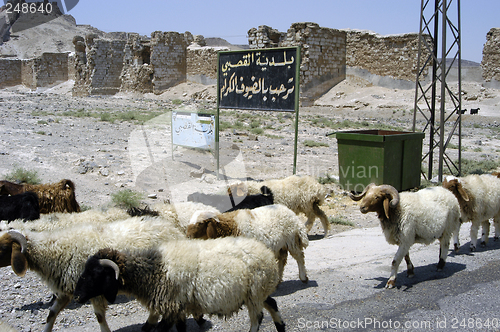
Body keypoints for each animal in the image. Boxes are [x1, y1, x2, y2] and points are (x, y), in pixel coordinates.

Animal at [0, 215, 185, 332]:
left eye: (3, 248)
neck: (55, 250)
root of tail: (174, 230)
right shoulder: (68, 290)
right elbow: (51, 314)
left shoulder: (93, 290)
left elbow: (99, 317)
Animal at [73, 237, 286, 332]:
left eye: (95, 274)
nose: (77, 296)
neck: (154, 269)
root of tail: (268, 255)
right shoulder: (178, 307)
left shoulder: (171, 307)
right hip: (257, 292)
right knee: (272, 304)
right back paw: (281, 328)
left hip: (254, 292)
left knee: (257, 318)